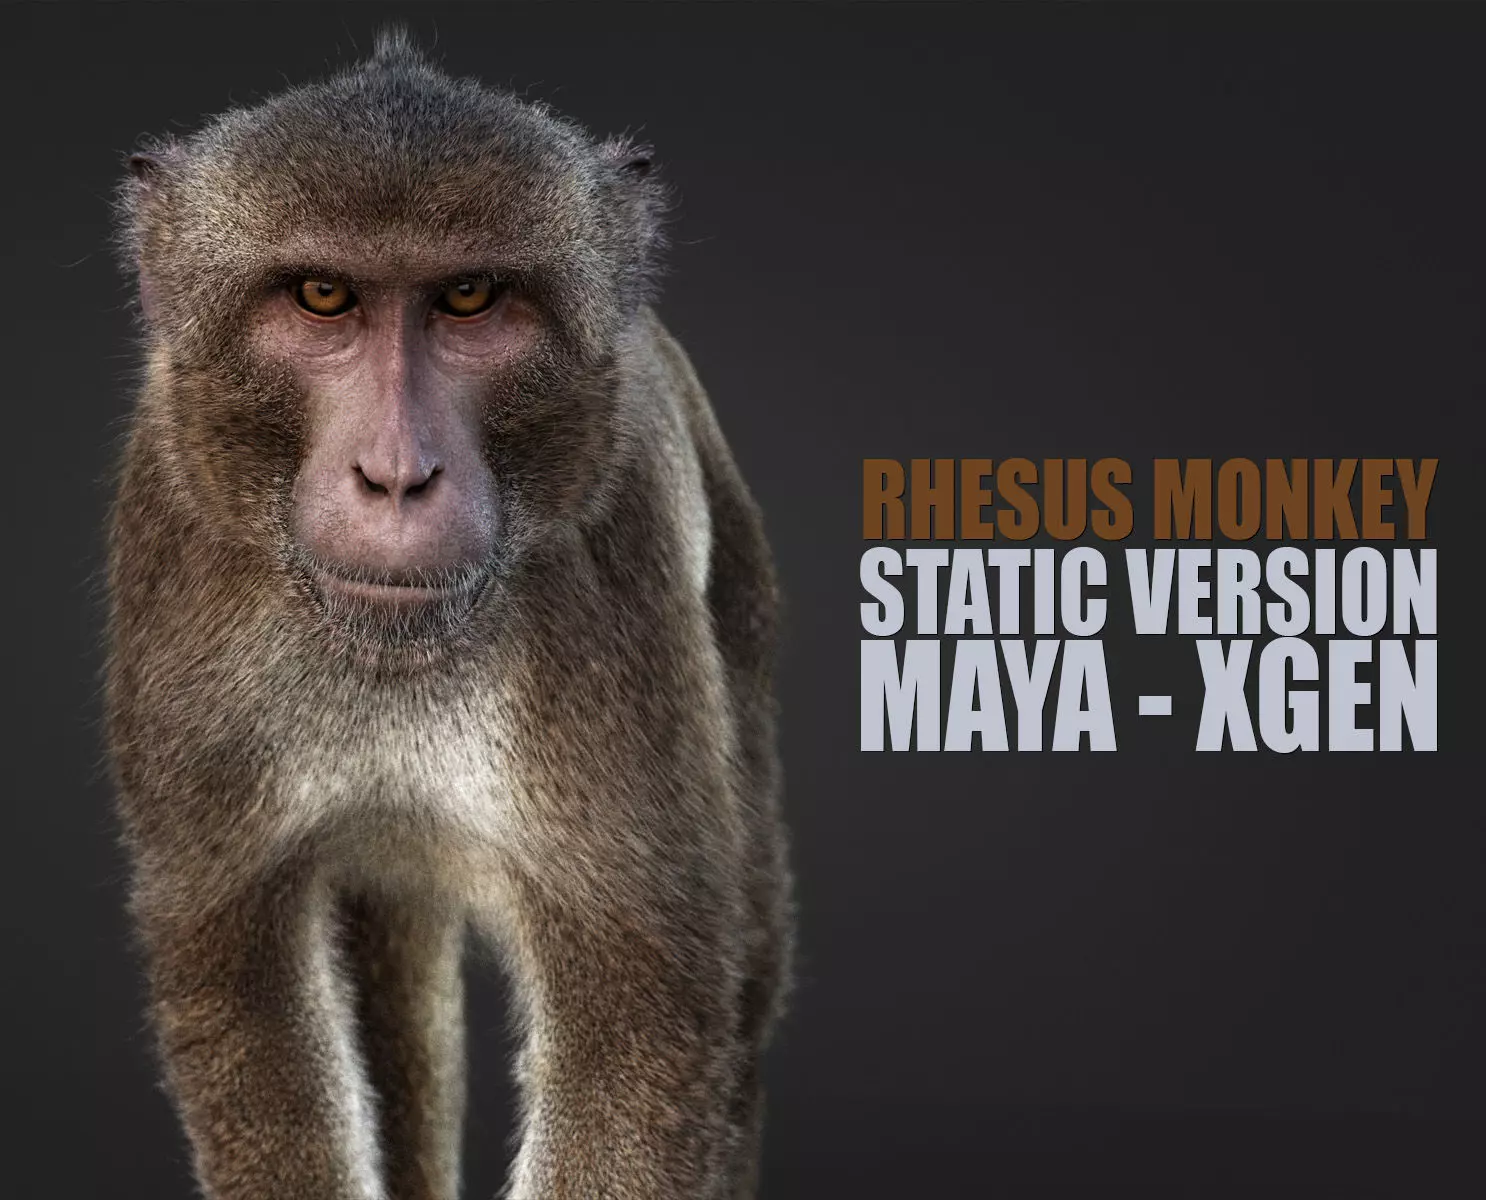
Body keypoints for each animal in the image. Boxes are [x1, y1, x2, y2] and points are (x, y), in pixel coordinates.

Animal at [105, 29, 792, 1200]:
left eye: (469, 298)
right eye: (322, 296)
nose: (396, 475)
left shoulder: (610, 575)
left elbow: (642, 1012)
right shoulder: (172, 538)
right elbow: (238, 972)